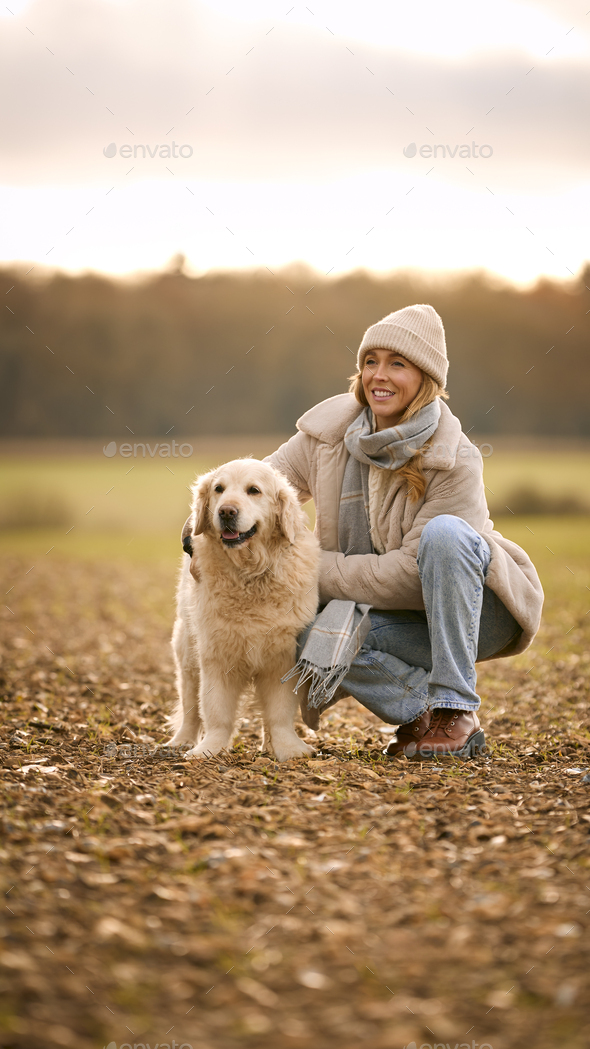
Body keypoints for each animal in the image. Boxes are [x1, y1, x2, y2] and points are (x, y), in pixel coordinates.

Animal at [167, 463, 319, 759]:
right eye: (219, 489)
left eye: (254, 490)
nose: (226, 511)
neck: (250, 573)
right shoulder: (216, 655)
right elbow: (216, 711)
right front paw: (210, 748)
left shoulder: (282, 658)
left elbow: (280, 713)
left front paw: (288, 749)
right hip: (188, 652)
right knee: (190, 705)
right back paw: (182, 741)